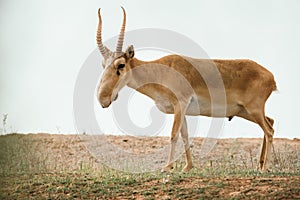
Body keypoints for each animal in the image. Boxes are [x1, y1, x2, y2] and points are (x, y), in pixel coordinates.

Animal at [95, 7, 276, 172]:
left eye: (121, 65)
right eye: (103, 65)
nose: (103, 99)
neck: (162, 70)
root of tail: (270, 77)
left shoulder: (180, 104)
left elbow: (174, 135)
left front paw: (167, 167)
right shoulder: (181, 110)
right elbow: (185, 135)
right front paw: (187, 167)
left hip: (253, 110)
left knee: (269, 130)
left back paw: (265, 168)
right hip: (245, 111)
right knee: (270, 122)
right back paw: (259, 165)